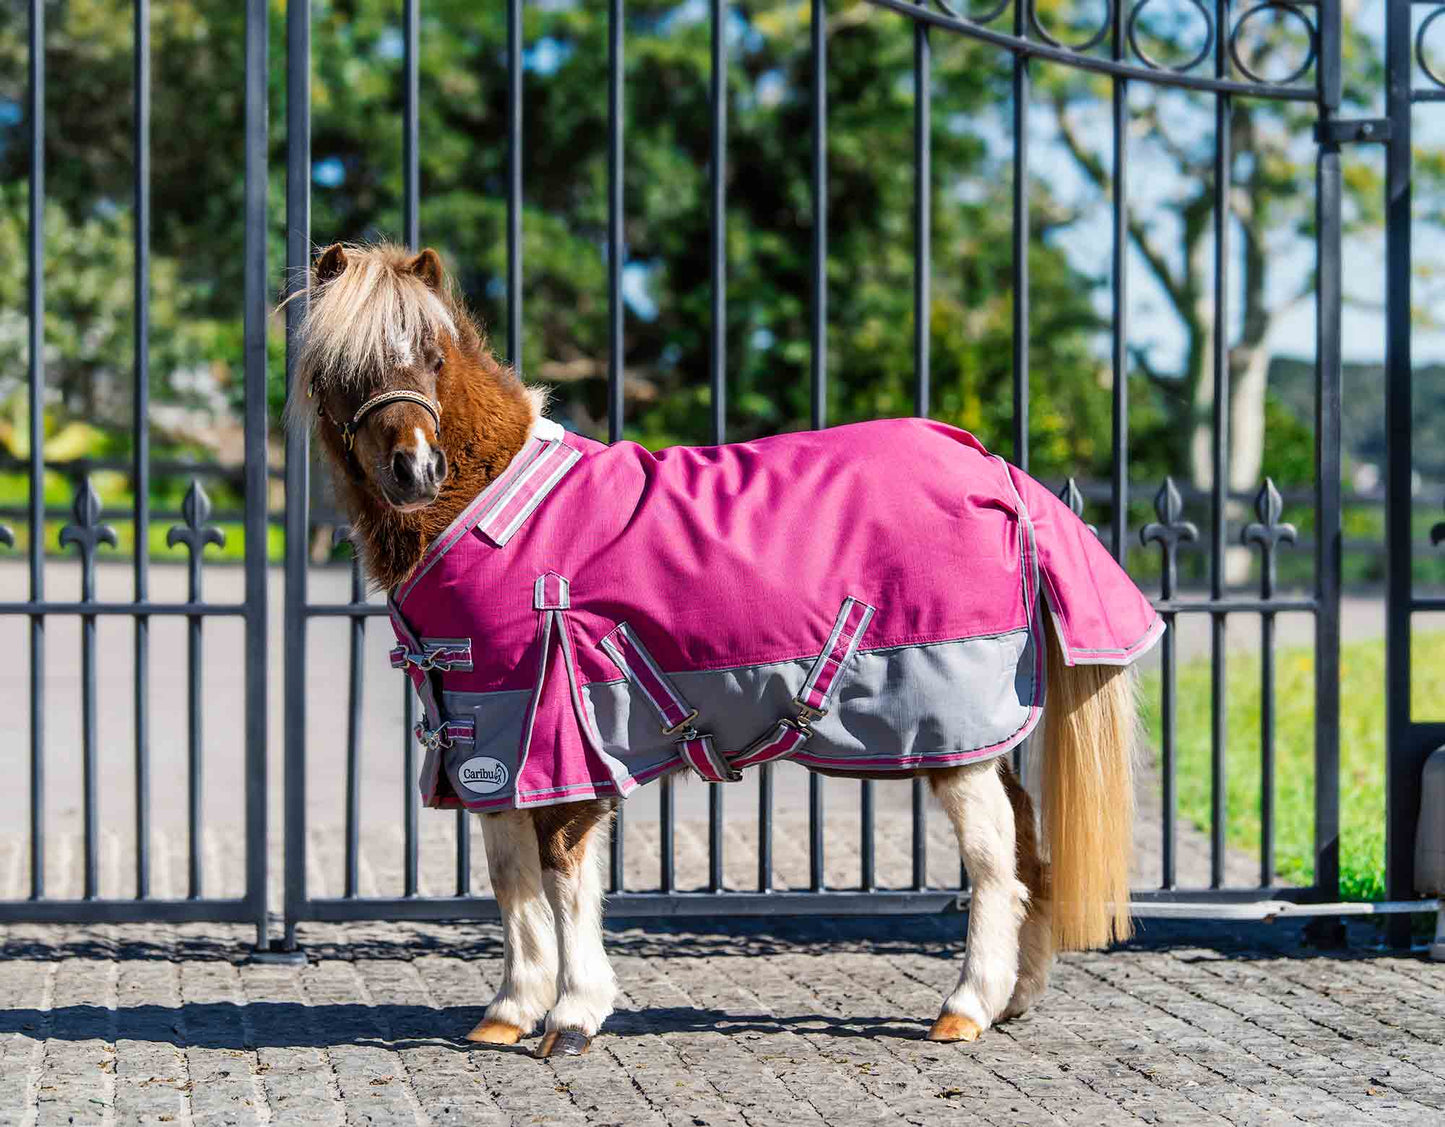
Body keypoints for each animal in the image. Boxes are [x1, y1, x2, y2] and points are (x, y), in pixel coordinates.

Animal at [289, 242, 1155, 1059]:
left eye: (433, 356)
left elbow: (565, 876)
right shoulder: (488, 733)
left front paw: (571, 1017)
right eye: (340, 370)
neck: (500, 508)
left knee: (994, 863)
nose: (414, 470)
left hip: (953, 736)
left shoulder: (564, 732)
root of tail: (994, 470)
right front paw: (508, 1012)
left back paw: (965, 1007)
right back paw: (1012, 998)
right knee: (1030, 852)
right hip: (976, 735)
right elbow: (510, 879)